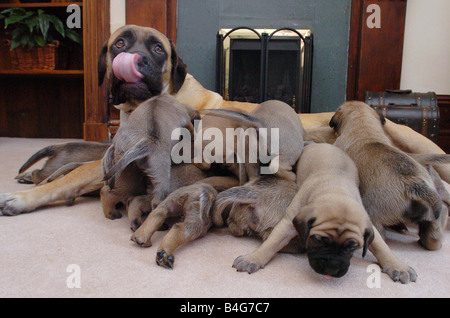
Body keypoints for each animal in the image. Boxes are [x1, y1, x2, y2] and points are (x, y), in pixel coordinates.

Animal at [0, 24, 450, 214]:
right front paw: (34, 178)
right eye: (119, 44)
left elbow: (73, 175)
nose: (137, 60)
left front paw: (27, 197)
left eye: (158, 49)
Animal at [230, 143, 416, 284]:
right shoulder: (288, 222)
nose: (331, 269)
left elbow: (382, 247)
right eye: (318, 240)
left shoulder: (366, 225)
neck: (335, 190)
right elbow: (271, 243)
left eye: (352, 247)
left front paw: (398, 266)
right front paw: (253, 258)